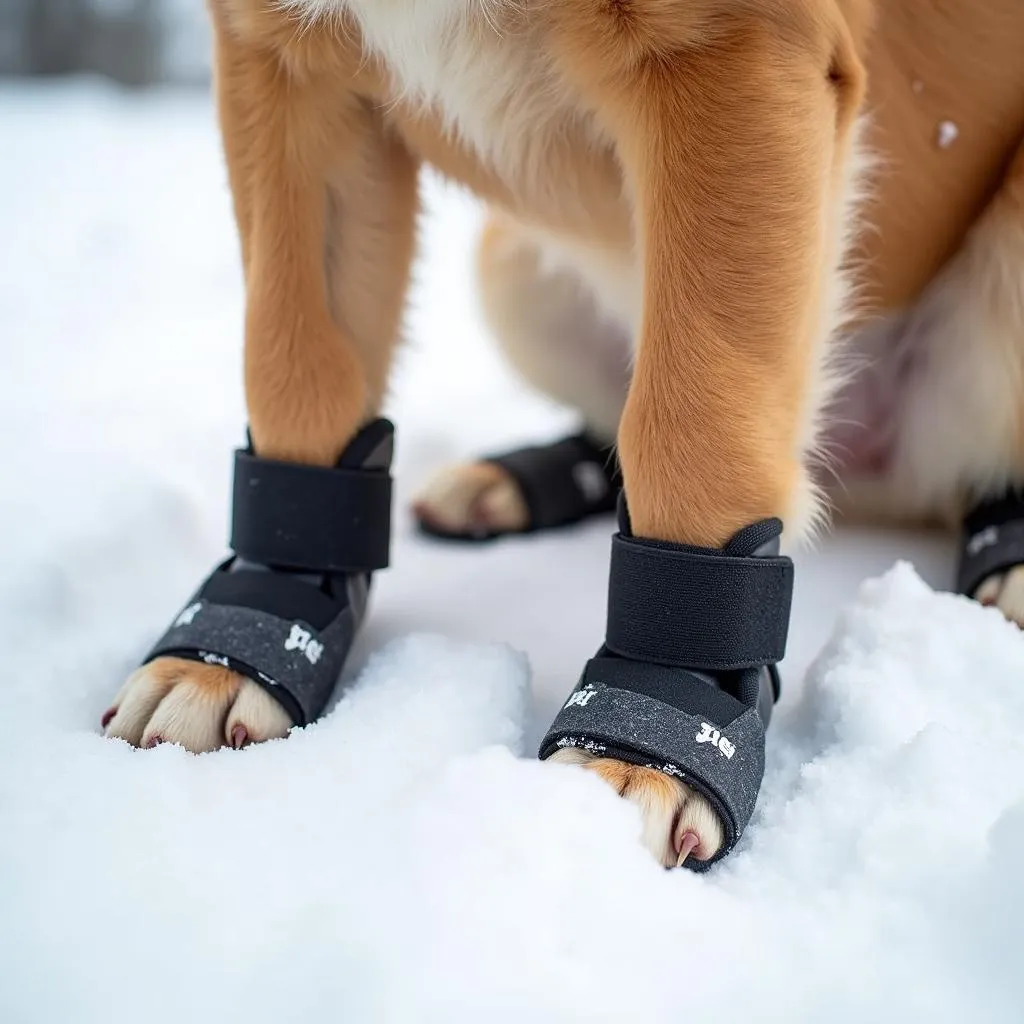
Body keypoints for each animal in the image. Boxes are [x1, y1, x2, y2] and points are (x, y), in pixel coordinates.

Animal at [99, 0, 1024, 868]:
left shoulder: (737, 54)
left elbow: (696, 426)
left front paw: (651, 735)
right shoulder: (280, 60)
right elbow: (296, 372)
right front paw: (238, 636)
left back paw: (1008, 561)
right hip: (509, 258)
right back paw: (509, 483)